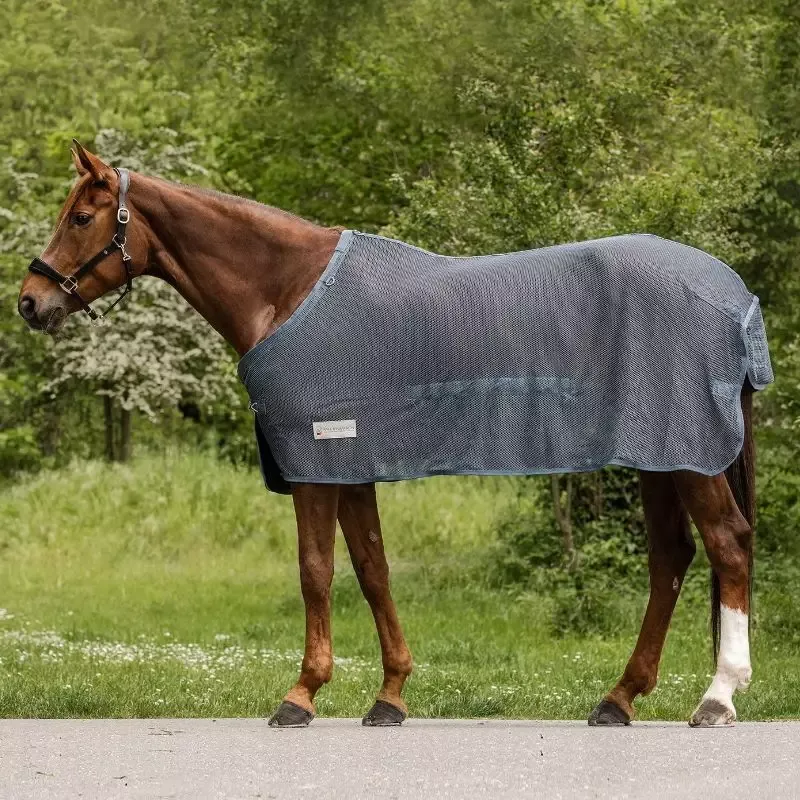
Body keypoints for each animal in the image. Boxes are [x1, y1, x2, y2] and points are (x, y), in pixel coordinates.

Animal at [18, 141, 760, 729]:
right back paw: (619, 699)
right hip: (659, 454)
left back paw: (717, 697)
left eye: (80, 217)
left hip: (688, 458)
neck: (287, 289)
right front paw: (391, 695)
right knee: (670, 559)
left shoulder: (316, 461)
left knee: (727, 546)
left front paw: (302, 694)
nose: (30, 300)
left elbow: (315, 572)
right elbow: (373, 571)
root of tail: (734, 295)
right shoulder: (351, 464)